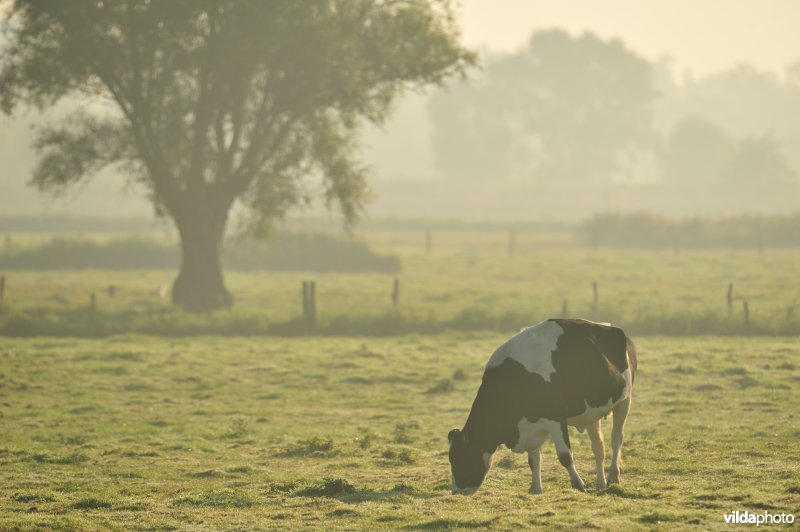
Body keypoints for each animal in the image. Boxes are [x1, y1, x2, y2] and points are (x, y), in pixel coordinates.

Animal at [448, 318, 637, 495]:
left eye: (458, 458)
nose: (456, 490)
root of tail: (611, 327)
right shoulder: (531, 425)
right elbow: (533, 460)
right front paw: (536, 488)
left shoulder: (556, 417)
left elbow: (565, 456)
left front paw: (578, 484)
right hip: (592, 414)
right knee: (598, 446)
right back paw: (601, 483)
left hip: (624, 402)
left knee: (616, 438)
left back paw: (613, 475)